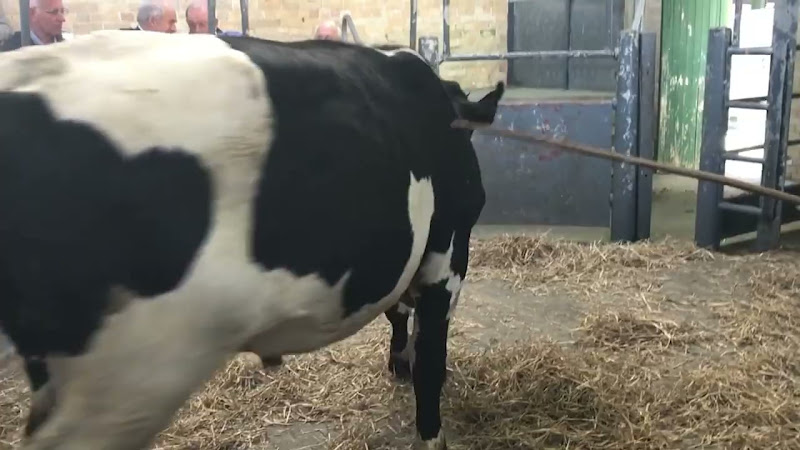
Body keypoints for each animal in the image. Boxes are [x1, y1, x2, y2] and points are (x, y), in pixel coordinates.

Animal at [0, 30, 503, 450]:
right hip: (130, 379)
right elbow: (431, 360)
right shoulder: (447, 253)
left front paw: (398, 363)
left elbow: (399, 313)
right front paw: (429, 429)